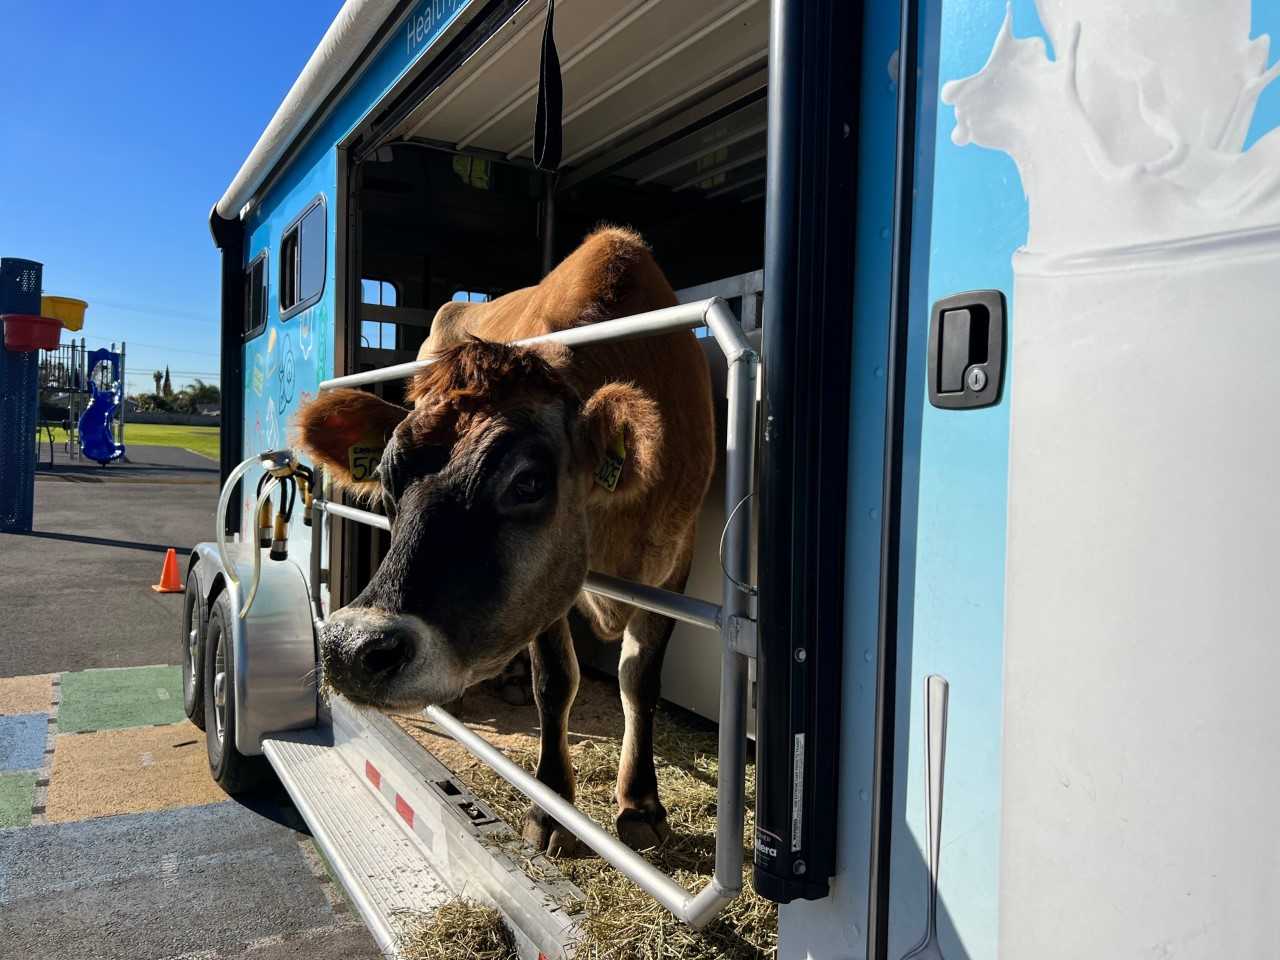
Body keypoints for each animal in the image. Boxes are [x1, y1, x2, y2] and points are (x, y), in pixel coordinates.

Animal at [295, 227, 715, 855]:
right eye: (389, 478)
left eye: (529, 482)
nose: (348, 649)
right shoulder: (549, 594)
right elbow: (556, 681)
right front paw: (553, 807)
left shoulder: (678, 557)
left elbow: (639, 679)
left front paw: (641, 804)